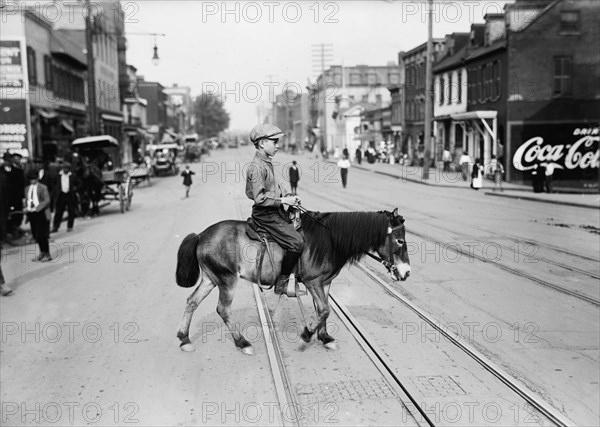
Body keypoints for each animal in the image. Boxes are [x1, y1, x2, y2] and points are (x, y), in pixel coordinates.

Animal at [173, 208, 408, 354]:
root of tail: (201, 235)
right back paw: (242, 342)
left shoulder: (324, 283)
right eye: (400, 240)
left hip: (211, 278)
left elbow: (323, 309)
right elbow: (324, 310)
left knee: (192, 301)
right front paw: (307, 334)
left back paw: (185, 339)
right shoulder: (313, 282)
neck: (329, 240)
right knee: (223, 309)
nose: (406, 273)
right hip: (227, 280)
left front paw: (325, 337)